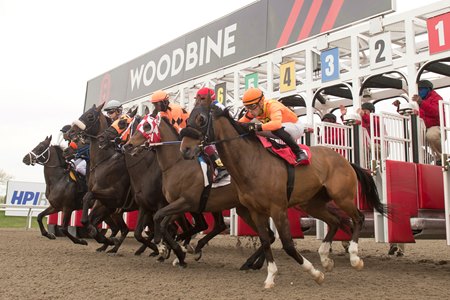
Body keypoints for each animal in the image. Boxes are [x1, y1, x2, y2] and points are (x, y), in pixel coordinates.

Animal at [123, 113, 272, 268]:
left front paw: (171, 249)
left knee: (267, 235)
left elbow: (161, 220)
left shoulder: (185, 202)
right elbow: (162, 223)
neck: (177, 164)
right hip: (243, 208)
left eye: (147, 126)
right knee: (267, 235)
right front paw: (176, 251)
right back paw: (254, 262)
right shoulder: (175, 204)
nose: (127, 145)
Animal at [179, 101, 390, 288]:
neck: (252, 162)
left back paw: (354, 257)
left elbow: (288, 244)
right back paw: (325, 258)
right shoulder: (256, 211)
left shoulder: (278, 209)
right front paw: (270, 277)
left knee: (358, 218)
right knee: (335, 221)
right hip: (312, 203)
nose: (185, 150)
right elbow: (265, 240)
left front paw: (314, 273)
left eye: (201, 119)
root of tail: (345, 160)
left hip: (342, 196)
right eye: (187, 118)